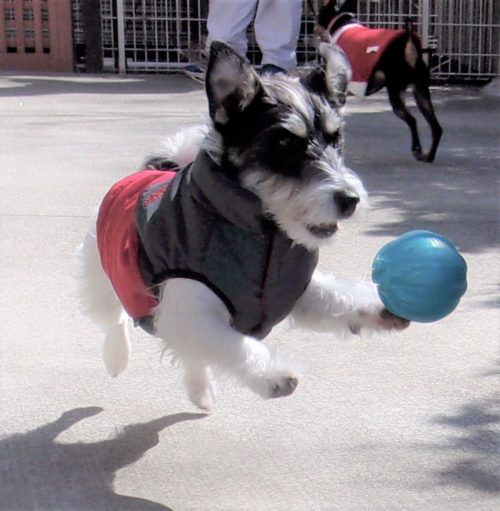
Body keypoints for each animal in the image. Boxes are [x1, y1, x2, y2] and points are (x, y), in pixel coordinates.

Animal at [76, 41, 409, 412]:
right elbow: (234, 345)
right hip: (102, 272)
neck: (264, 238)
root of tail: (156, 167)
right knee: (114, 319)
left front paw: (380, 303)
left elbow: (336, 296)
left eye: (337, 140)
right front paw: (275, 375)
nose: (350, 199)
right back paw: (117, 358)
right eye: (283, 146)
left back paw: (200, 391)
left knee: (191, 354)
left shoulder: (294, 291)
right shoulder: (188, 311)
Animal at [316, 0, 442, 162]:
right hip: (421, 90)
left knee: (412, 120)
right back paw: (429, 155)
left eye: (319, 13)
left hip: (396, 93)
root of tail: (407, 40)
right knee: (436, 128)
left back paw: (417, 149)